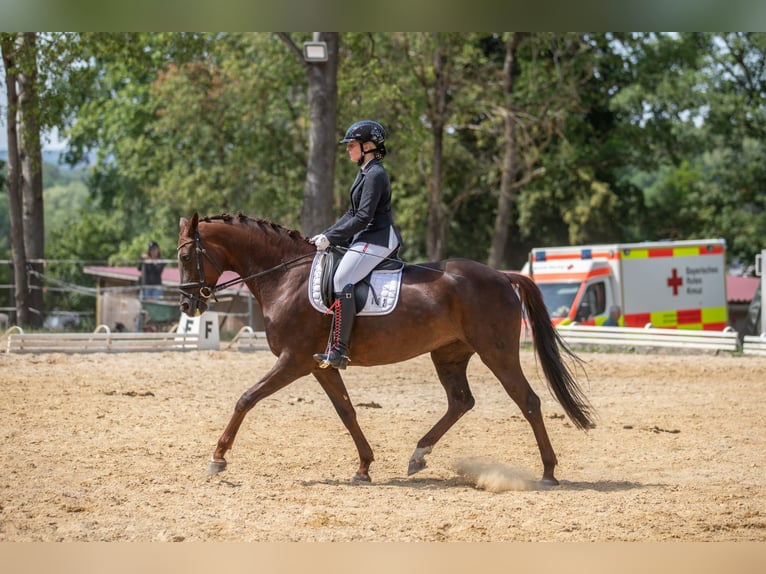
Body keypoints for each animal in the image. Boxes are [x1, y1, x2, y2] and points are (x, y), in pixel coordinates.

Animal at [178, 212, 592, 486]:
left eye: (184, 257)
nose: (187, 306)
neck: (285, 277)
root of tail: (503, 276)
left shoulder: (293, 360)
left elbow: (246, 398)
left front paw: (217, 459)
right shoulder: (319, 364)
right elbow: (347, 412)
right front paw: (363, 467)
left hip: (497, 352)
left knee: (528, 401)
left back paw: (549, 472)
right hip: (449, 354)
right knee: (461, 401)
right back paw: (418, 455)